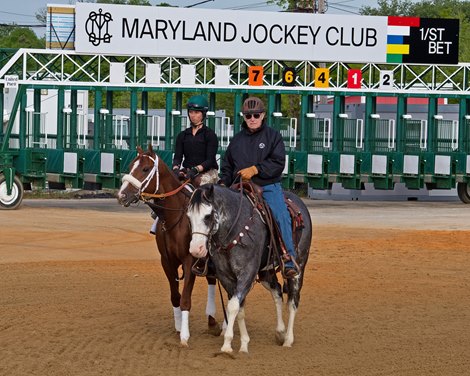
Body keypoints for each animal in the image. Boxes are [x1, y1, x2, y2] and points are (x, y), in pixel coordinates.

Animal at [116, 145, 221, 346]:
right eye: (131, 166)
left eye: (145, 169)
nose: (122, 195)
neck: (176, 217)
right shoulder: (167, 261)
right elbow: (175, 296)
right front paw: (179, 325)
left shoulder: (190, 261)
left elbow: (185, 298)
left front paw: (185, 335)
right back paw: (212, 322)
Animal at [187, 184, 312, 354]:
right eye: (188, 217)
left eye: (207, 216)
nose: (195, 249)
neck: (234, 229)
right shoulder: (226, 277)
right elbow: (238, 308)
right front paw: (244, 344)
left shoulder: (247, 273)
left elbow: (233, 306)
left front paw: (227, 346)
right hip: (266, 272)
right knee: (277, 292)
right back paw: (280, 332)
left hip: (298, 267)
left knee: (293, 300)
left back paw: (288, 340)